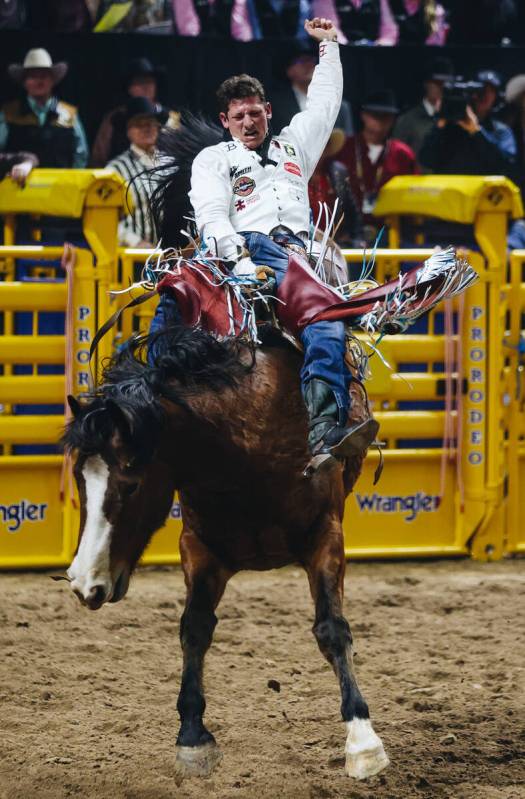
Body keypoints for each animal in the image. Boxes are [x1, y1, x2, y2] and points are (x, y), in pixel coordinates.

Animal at [62, 324, 388, 780]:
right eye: (78, 476)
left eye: (131, 484)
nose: (83, 583)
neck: (243, 447)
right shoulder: (199, 548)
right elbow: (195, 629)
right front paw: (192, 737)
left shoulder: (326, 536)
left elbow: (332, 629)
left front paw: (362, 741)